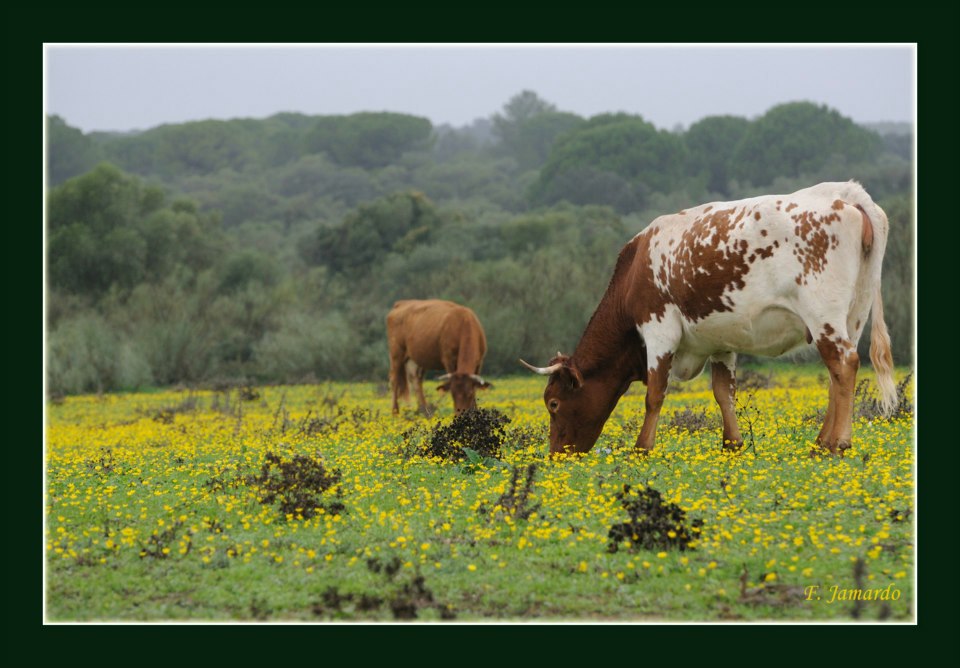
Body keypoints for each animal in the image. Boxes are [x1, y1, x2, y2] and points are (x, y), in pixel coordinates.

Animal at [520, 181, 896, 454]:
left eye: (553, 403)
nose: (555, 454)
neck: (634, 271)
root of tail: (846, 193)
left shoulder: (658, 330)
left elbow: (655, 393)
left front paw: (642, 447)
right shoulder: (721, 340)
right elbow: (723, 392)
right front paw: (732, 443)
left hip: (823, 314)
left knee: (844, 364)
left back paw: (838, 443)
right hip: (853, 315)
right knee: (838, 372)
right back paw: (820, 442)